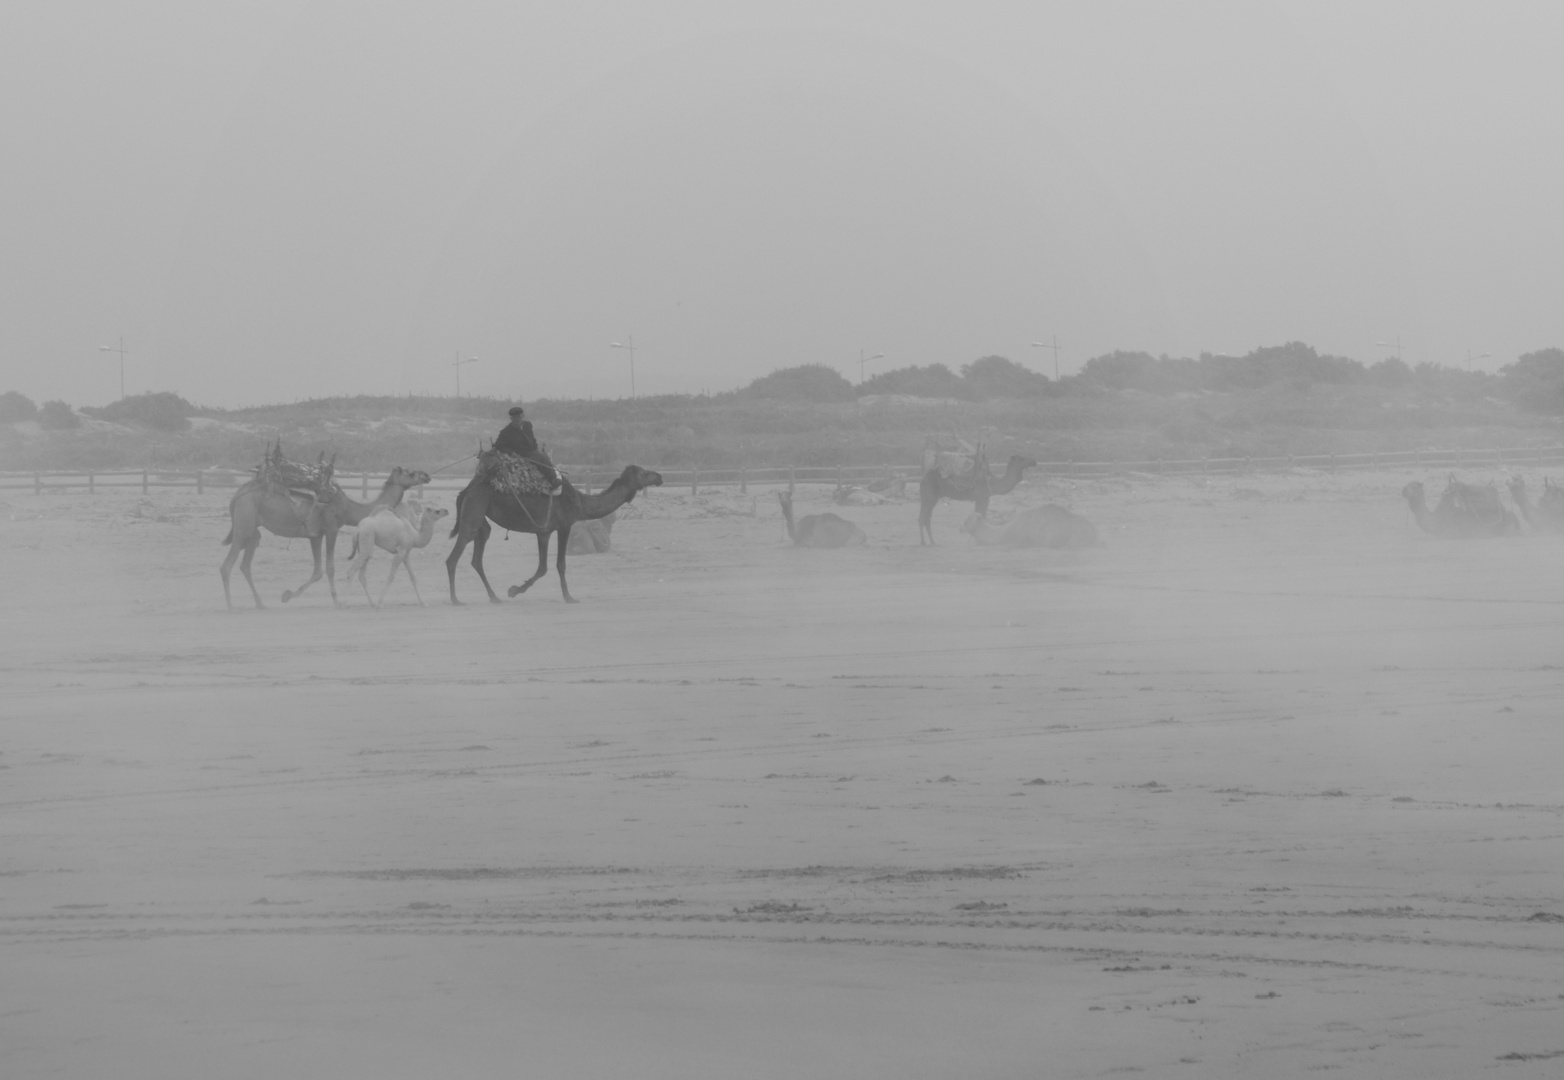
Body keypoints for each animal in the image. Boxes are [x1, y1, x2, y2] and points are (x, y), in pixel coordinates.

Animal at [217, 465, 431, 612]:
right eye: (410, 473)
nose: (427, 475)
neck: (348, 508)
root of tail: (237, 495)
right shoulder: (331, 529)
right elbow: (330, 568)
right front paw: (336, 601)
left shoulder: (315, 535)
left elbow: (318, 571)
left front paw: (288, 595)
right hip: (244, 524)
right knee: (227, 565)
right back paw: (230, 606)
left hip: (253, 531)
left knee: (245, 565)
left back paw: (260, 603)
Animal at [444, 459, 663, 603]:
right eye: (644, 473)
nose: (659, 476)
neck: (580, 502)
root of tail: (466, 490)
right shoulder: (561, 527)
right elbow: (556, 565)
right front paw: (568, 597)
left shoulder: (544, 531)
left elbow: (544, 567)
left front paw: (514, 590)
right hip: (475, 507)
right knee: (454, 555)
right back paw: (456, 599)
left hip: (480, 516)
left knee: (477, 556)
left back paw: (494, 597)